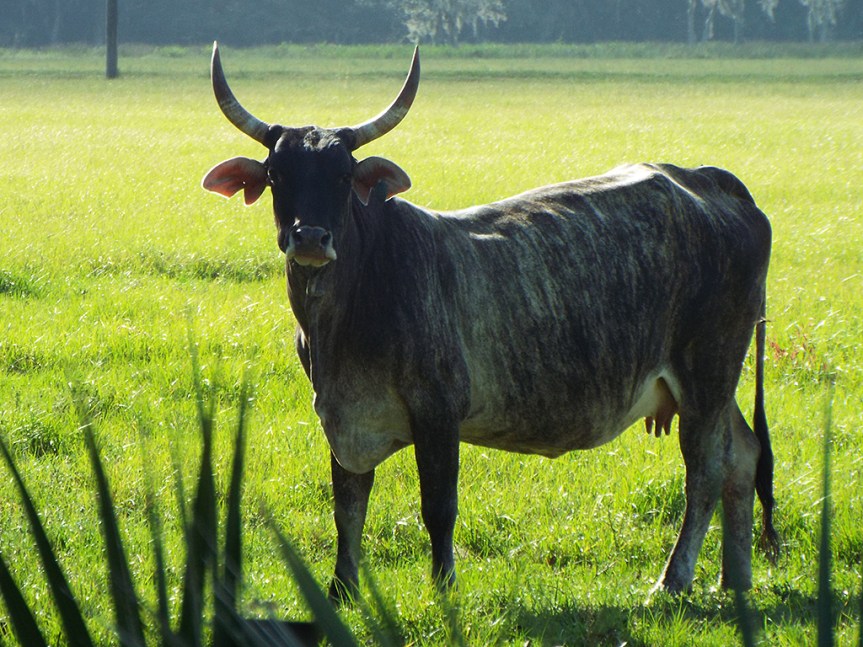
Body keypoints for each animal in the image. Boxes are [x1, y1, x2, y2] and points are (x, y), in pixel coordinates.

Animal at [202, 42, 779, 603]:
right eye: (277, 175)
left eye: (344, 175)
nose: (310, 237)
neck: (344, 316)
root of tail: (706, 180)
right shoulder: (341, 417)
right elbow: (348, 510)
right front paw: (341, 590)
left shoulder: (438, 413)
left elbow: (438, 508)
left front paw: (445, 588)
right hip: (712, 387)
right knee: (743, 458)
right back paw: (733, 579)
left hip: (708, 373)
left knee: (705, 470)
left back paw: (673, 580)